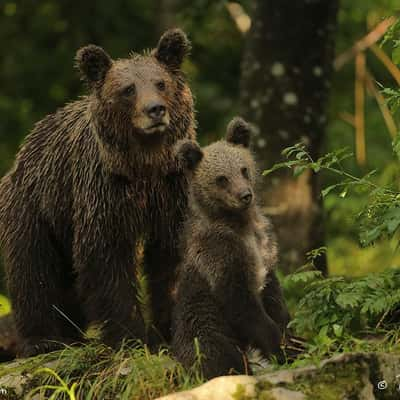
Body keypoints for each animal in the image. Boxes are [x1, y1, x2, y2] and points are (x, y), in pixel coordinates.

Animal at [0, 29, 195, 358]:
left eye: (160, 82)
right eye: (128, 89)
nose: (155, 110)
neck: (145, 165)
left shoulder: (172, 191)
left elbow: (172, 259)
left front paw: (169, 331)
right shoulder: (103, 192)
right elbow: (106, 259)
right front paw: (129, 336)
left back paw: (71, 333)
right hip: (34, 207)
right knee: (33, 270)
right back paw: (42, 340)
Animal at [173, 117, 290, 380]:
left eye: (243, 169)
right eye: (221, 178)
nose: (245, 195)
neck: (240, 224)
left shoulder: (265, 245)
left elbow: (275, 299)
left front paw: (293, 338)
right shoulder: (219, 252)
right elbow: (241, 304)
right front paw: (281, 346)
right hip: (204, 327)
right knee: (217, 354)